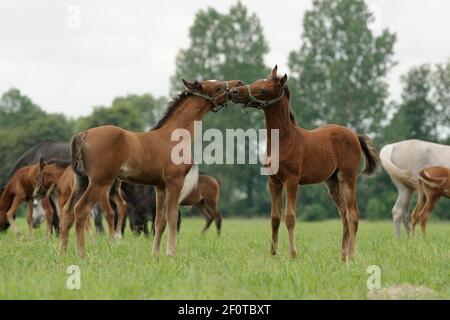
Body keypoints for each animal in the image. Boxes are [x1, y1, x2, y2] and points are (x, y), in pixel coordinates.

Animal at [67, 80, 243, 258]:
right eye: (218, 87)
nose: (238, 84)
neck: (174, 135)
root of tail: (83, 134)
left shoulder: (160, 187)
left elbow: (160, 221)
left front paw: (155, 254)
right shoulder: (175, 182)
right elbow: (172, 217)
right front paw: (171, 253)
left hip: (82, 182)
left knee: (67, 211)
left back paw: (63, 250)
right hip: (99, 182)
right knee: (81, 210)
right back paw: (81, 254)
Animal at [230, 66, 382, 262]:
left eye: (263, 89)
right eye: (255, 82)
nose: (234, 92)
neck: (284, 140)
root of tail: (354, 135)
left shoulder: (292, 180)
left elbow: (290, 217)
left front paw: (293, 255)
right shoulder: (273, 181)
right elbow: (275, 218)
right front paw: (272, 254)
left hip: (347, 177)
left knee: (353, 214)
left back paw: (352, 256)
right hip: (331, 181)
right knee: (344, 215)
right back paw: (342, 256)